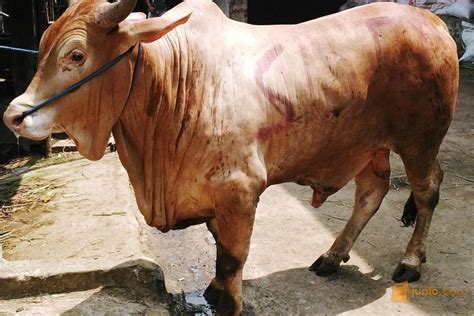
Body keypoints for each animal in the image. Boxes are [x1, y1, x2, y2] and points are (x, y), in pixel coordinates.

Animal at [1, 0, 458, 314]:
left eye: (76, 55)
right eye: (42, 48)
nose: (14, 116)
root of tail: (430, 20)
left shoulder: (239, 192)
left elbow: (233, 257)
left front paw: (227, 301)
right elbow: (220, 251)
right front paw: (213, 290)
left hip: (420, 142)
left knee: (427, 191)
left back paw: (410, 261)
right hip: (366, 147)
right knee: (371, 193)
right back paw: (332, 256)